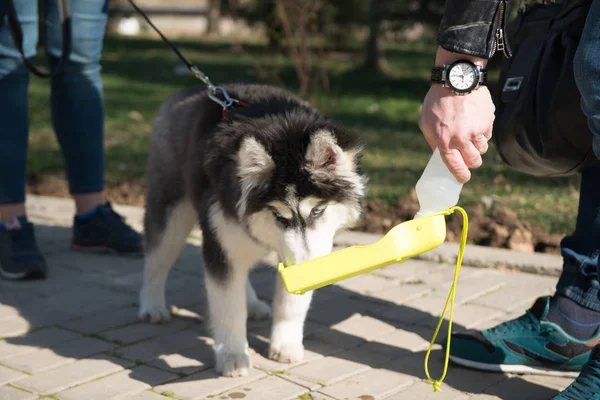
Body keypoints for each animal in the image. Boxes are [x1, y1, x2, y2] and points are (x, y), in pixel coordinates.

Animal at [139, 83, 366, 378]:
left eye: (318, 211)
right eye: (278, 215)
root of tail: (193, 89)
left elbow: (290, 303)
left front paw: (286, 344)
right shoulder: (221, 242)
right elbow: (229, 309)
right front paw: (234, 355)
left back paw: (254, 303)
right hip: (172, 210)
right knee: (157, 257)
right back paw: (152, 305)